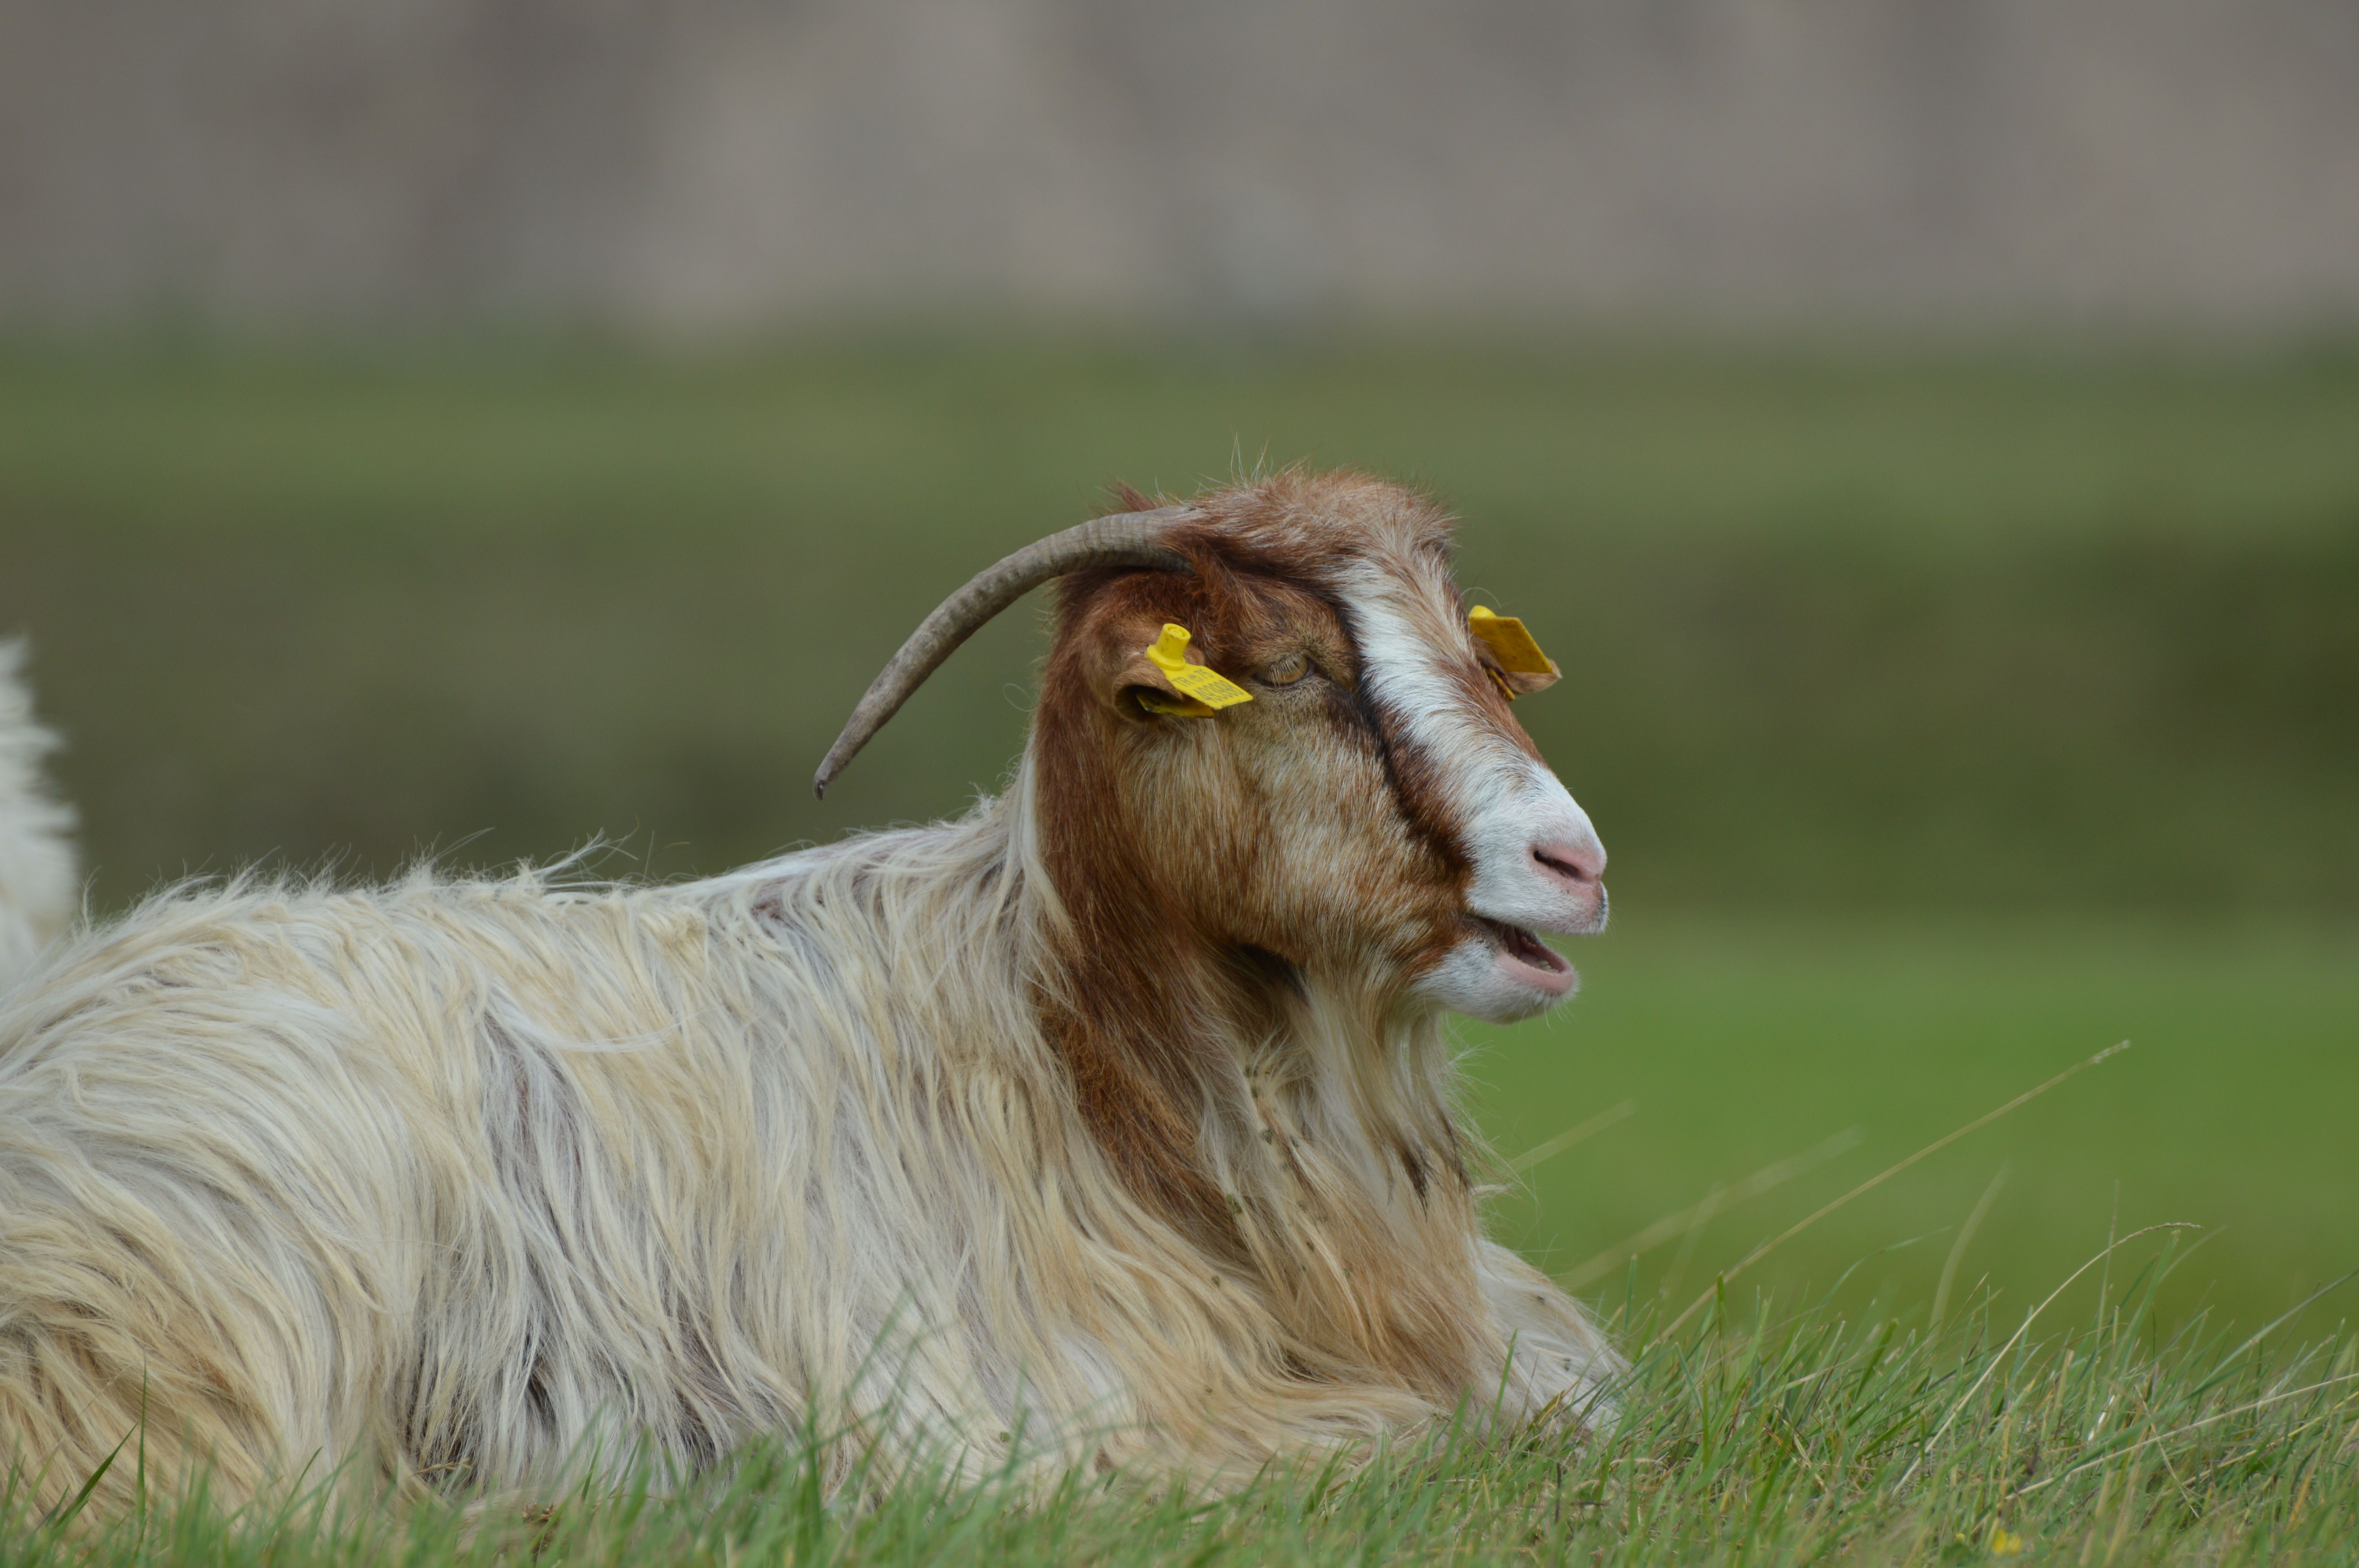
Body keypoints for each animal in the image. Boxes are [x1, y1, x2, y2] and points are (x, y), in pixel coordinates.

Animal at [0, 470, 1619, 1511]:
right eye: (1289, 670)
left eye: (1480, 661)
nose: (1574, 861)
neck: (1064, 1052)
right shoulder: (1031, 1412)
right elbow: (1423, 1433)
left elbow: (1563, 1405)